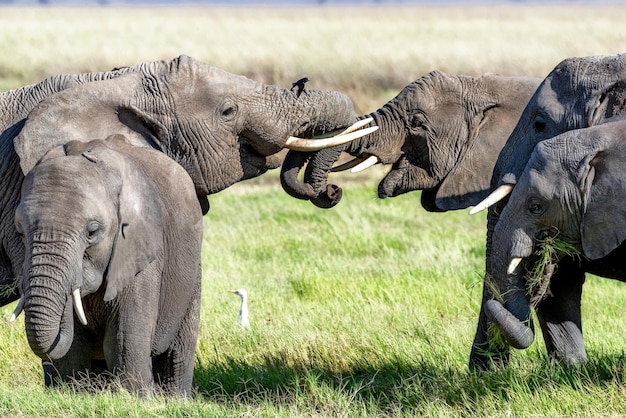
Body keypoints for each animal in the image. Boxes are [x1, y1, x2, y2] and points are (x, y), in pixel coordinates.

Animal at [12, 136, 202, 396]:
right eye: (20, 231)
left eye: (92, 232)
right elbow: (75, 345)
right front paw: (73, 393)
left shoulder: (140, 247)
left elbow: (122, 336)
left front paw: (137, 397)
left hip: (193, 271)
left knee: (179, 348)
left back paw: (175, 398)